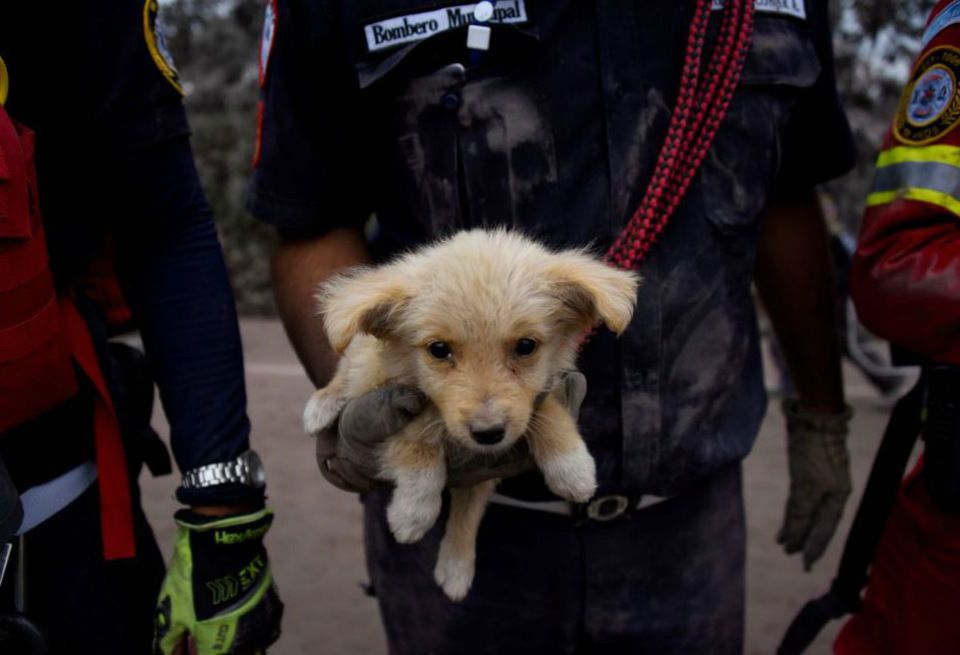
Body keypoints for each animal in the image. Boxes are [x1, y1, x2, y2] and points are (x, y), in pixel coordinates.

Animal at [304, 229, 640, 600]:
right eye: (438, 350)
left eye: (526, 346)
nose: (488, 432)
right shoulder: (384, 400)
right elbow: (418, 439)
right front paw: (413, 512)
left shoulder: (488, 461)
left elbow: (471, 508)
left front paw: (571, 466)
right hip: (360, 357)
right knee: (346, 367)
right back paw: (322, 404)